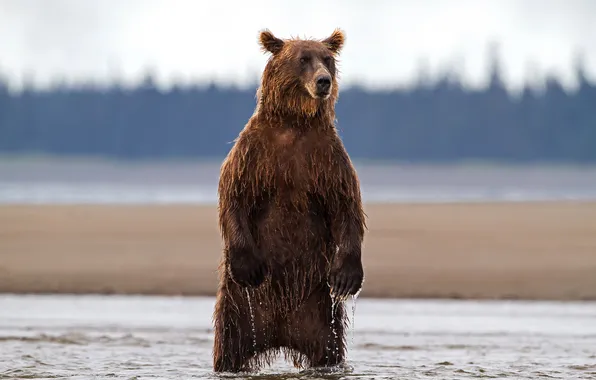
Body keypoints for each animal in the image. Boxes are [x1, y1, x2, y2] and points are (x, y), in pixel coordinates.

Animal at [212, 28, 366, 372]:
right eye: (303, 58)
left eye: (327, 59)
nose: (324, 81)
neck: (294, 122)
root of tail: (281, 333)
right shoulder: (254, 153)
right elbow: (234, 195)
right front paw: (248, 265)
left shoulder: (327, 158)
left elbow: (346, 205)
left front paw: (347, 277)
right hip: (239, 310)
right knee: (228, 348)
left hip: (320, 314)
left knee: (328, 351)